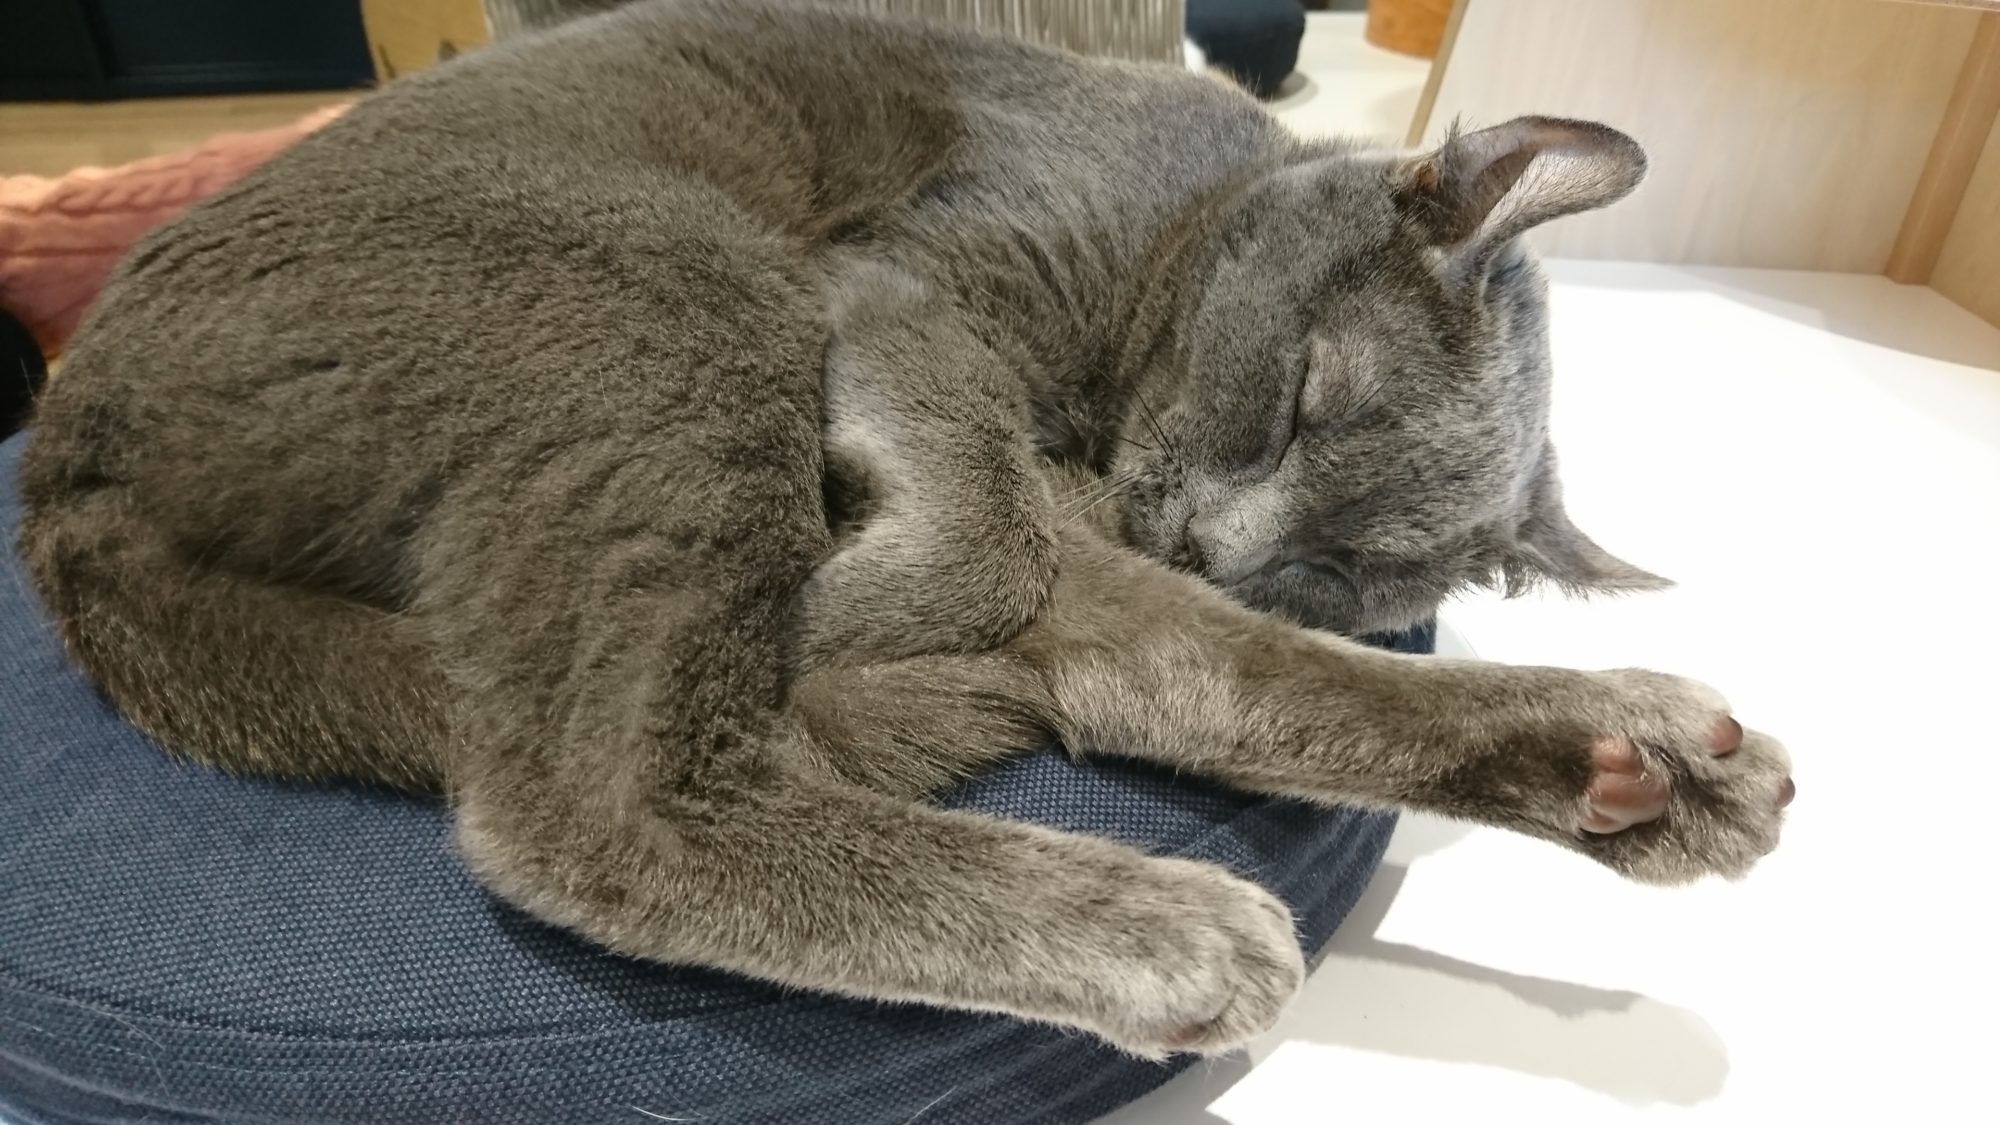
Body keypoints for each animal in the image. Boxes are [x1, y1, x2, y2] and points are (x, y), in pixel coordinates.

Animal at [17, 0, 1792, 1058]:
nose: (1224, 547)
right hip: (678, 280)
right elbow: (983, 526)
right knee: (599, 804)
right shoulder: (891, 287)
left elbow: (1192, 640)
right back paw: (1168, 923)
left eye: (1344, 568)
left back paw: (1639, 759)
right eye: (1301, 401)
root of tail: (64, 473)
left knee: (1188, 669)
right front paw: (835, 614)